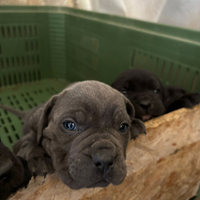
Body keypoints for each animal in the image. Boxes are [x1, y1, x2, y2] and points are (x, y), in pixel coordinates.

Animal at [0, 80, 145, 190]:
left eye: (123, 127)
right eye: (70, 125)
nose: (105, 159)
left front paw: (135, 124)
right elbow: (29, 144)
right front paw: (39, 158)